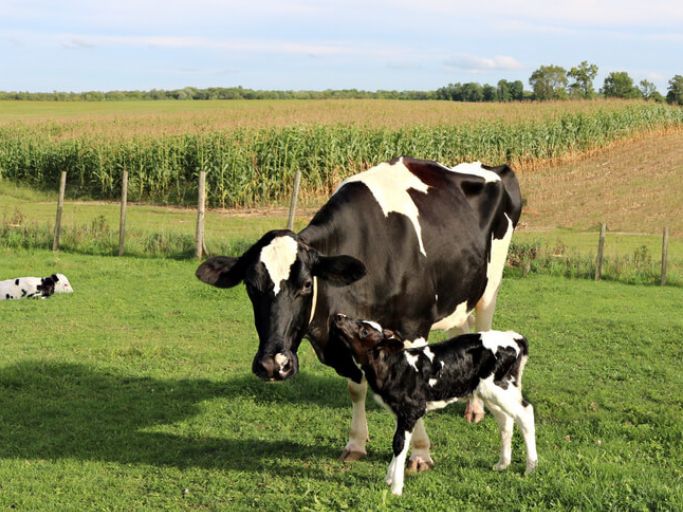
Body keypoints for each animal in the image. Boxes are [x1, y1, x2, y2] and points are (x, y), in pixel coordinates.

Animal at [198, 157, 524, 472]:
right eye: (251, 286)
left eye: (306, 285)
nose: (272, 364)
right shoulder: (344, 336)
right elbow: (356, 388)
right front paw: (355, 444)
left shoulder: (413, 327)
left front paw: (420, 453)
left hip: (489, 287)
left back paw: (476, 408)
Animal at [332, 312, 540, 496]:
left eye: (365, 331)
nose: (339, 316)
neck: (394, 366)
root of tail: (515, 338)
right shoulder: (399, 412)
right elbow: (398, 442)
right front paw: (390, 479)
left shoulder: (411, 410)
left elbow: (399, 444)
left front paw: (396, 488)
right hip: (489, 392)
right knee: (506, 420)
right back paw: (502, 464)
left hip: (501, 388)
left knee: (525, 413)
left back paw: (531, 467)